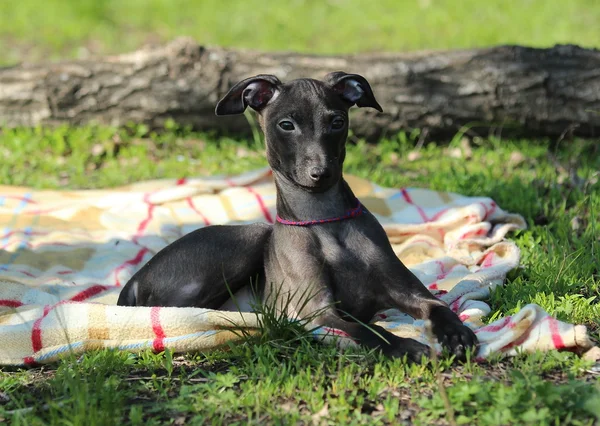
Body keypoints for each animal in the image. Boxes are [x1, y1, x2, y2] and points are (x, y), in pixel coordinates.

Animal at [117, 71, 476, 362]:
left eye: (337, 122)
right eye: (286, 125)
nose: (321, 173)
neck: (324, 221)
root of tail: (133, 281)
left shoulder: (410, 293)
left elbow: (439, 307)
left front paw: (456, 334)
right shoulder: (318, 310)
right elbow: (366, 329)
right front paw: (404, 346)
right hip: (244, 243)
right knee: (184, 312)